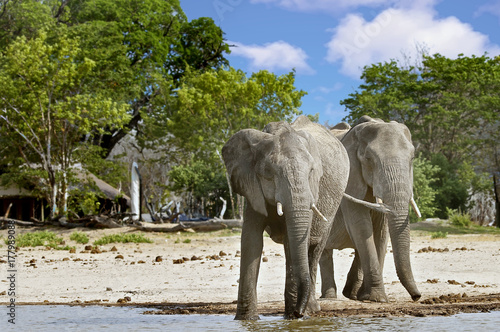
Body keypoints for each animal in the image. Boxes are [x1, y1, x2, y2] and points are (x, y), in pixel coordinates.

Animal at [221, 116, 354, 320]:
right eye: (269, 172)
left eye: (311, 171)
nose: (298, 313)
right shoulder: (252, 185)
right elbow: (251, 240)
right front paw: (246, 320)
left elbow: (294, 243)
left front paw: (294, 317)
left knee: (315, 248)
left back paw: (310, 309)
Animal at [320, 116, 422, 304]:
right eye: (369, 158)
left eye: (412, 158)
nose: (417, 296)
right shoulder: (350, 178)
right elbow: (361, 226)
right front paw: (377, 298)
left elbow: (380, 231)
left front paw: (364, 296)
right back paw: (329, 298)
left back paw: (348, 294)